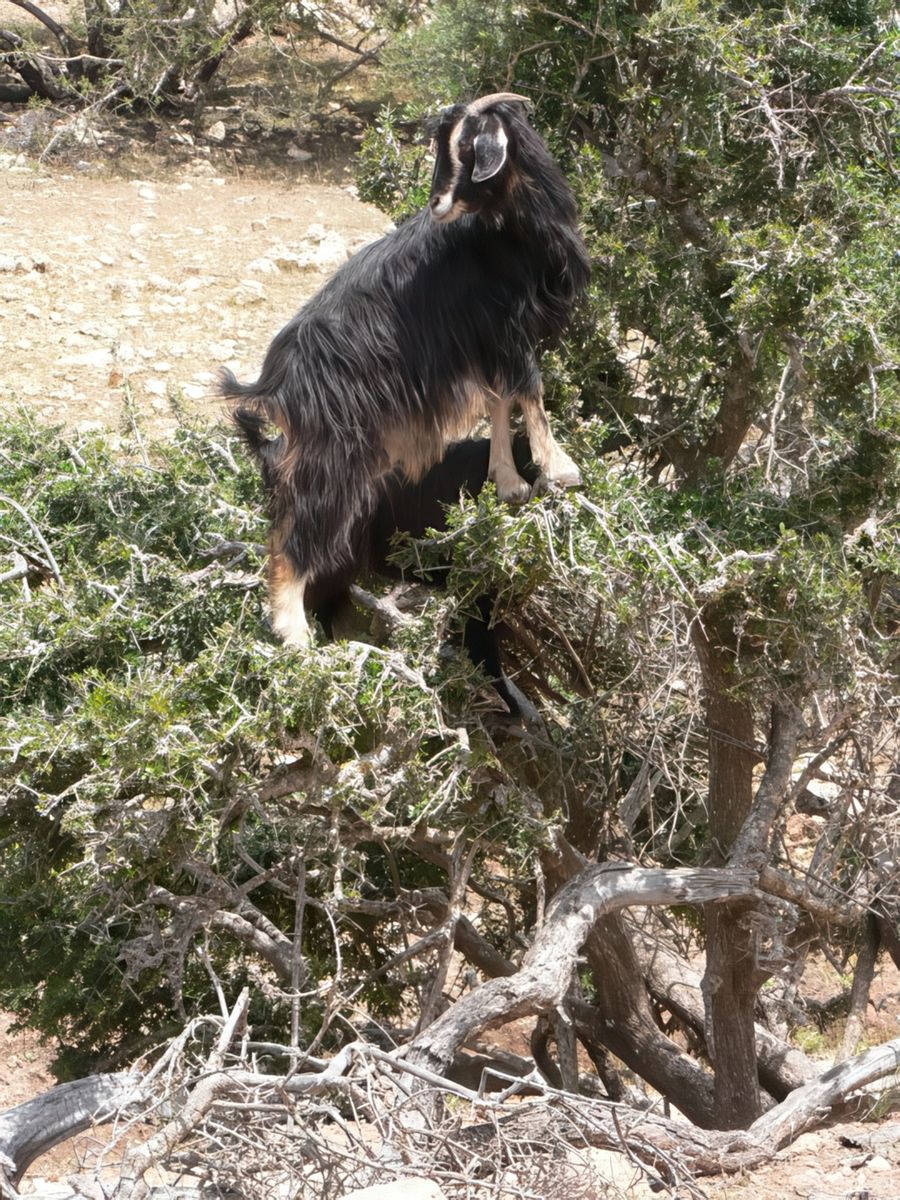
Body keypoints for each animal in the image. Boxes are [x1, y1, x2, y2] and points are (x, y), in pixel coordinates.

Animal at [222, 92, 590, 647]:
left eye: (468, 148)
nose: (435, 204)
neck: (511, 229)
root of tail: (275, 383)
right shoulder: (507, 330)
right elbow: (530, 391)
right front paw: (560, 469)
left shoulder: (489, 339)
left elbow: (501, 401)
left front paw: (508, 482)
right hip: (338, 453)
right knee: (298, 532)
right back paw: (294, 635)